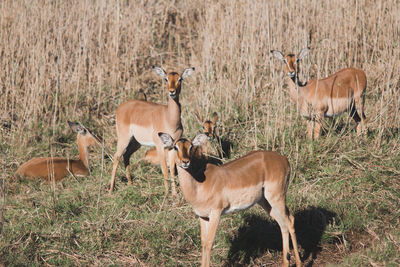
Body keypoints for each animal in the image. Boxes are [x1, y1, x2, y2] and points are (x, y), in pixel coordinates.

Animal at [109, 66, 195, 196]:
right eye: (166, 79)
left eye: (180, 79)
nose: (172, 92)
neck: (168, 118)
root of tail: (120, 107)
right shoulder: (160, 146)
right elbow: (165, 169)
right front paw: (167, 193)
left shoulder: (172, 147)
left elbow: (172, 169)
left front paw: (174, 194)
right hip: (124, 139)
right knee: (116, 156)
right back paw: (111, 190)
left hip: (136, 142)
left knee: (126, 155)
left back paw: (130, 183)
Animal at [158, 132, 302, 267]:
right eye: (175, 147)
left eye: (191, 146)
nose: (185, 161)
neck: (199, 187)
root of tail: (284, 159)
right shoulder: (202, 217)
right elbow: (203, 243)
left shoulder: (215, 213)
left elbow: (209, 243)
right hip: (265, 201)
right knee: (283, 224)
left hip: (276, 197)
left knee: (290, 220)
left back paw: (299, 263)